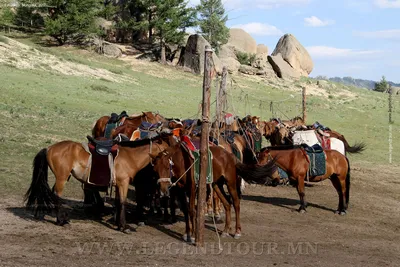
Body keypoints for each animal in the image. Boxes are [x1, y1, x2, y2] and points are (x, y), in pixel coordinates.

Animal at [24, 132, 173, 232]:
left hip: (63, 177)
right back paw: (61, 221)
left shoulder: (118, 185)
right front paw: (124, 226)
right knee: (57, 195)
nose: (165, 186)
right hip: (62, 178)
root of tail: (49, 148)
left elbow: (118, 203)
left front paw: (118, 224)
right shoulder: (123, 183)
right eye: (166, 166)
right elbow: (123, 203)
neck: (130, 157)